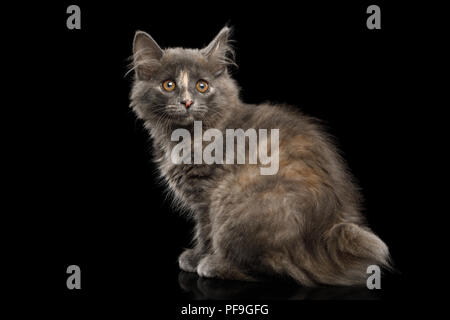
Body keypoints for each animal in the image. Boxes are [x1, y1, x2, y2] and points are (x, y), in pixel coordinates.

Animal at [129, 26, 390, 284]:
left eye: (202, 85)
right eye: (168, 85)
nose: (187, 102)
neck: (186, 137)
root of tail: (325, 234)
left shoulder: (207, 195)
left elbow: (205, 231)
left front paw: (197, 258)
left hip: (235, 198)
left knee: (275, 267)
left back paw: (215, 265)